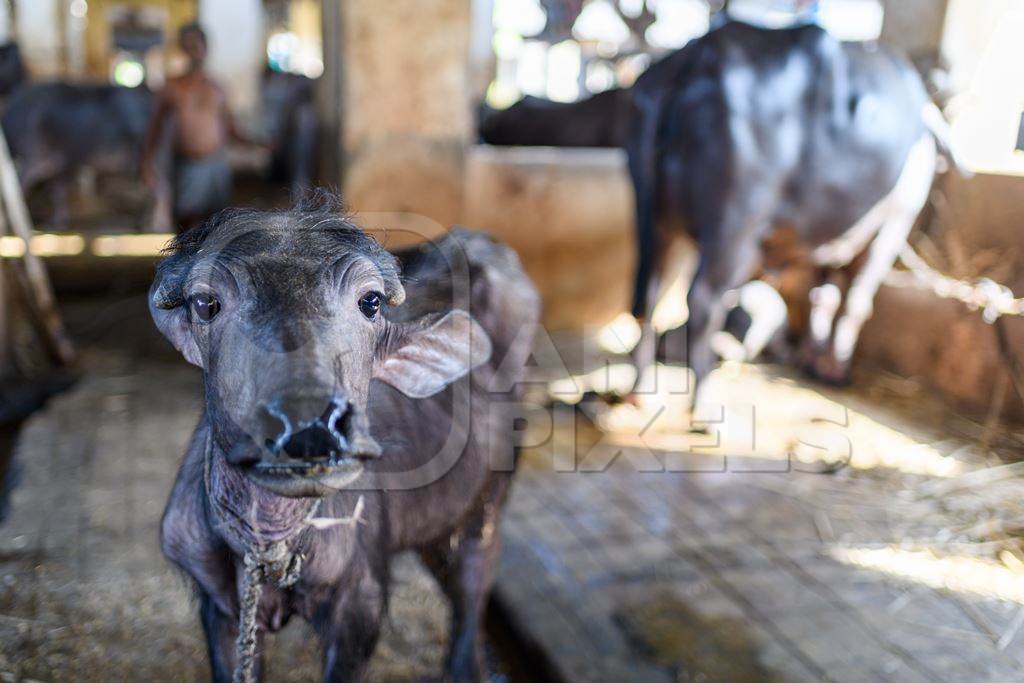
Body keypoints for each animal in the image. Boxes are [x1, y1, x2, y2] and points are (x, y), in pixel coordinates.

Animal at [149, 194, 544, 679]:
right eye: (205, 303)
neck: (271, 541)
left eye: (370, 301)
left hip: (491, 495)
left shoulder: (360, 603)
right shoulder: (220, 607)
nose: (308, 426)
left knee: (475, 572)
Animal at [626, 21, 954, 413]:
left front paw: (815, 358)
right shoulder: (891, 227)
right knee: (703, 300)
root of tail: (694, 58)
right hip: (735, 227)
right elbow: (856, 302)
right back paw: (705, 405)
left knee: (650, 293)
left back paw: (640, 393)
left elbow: (821, 296)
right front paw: (835, 368)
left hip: (657, 217)